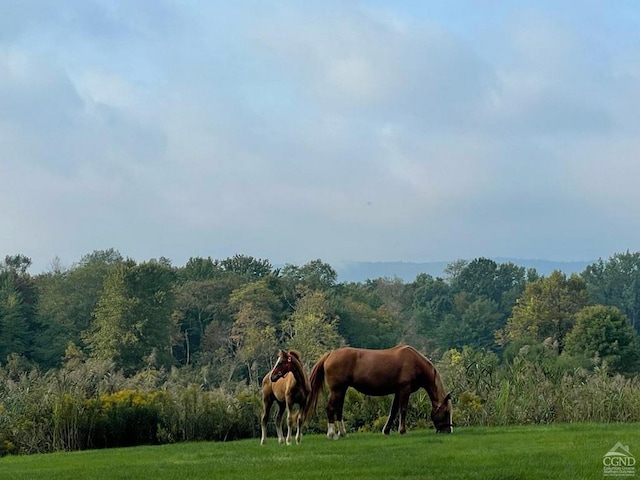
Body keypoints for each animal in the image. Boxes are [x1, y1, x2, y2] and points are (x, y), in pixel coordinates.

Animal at [308, 344, 450, 438]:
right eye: (446, 412)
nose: (448, 430)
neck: (415, 362)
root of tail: (330, 354)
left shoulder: (398, 391)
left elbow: (393, 411)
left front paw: (386, 430)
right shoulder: (404, 390)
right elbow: (403, 409)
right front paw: (402, 431)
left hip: (341, 390)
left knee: (339, 409)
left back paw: (342, 433)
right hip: (337, 390)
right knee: (330, 408)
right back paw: (331, 433)